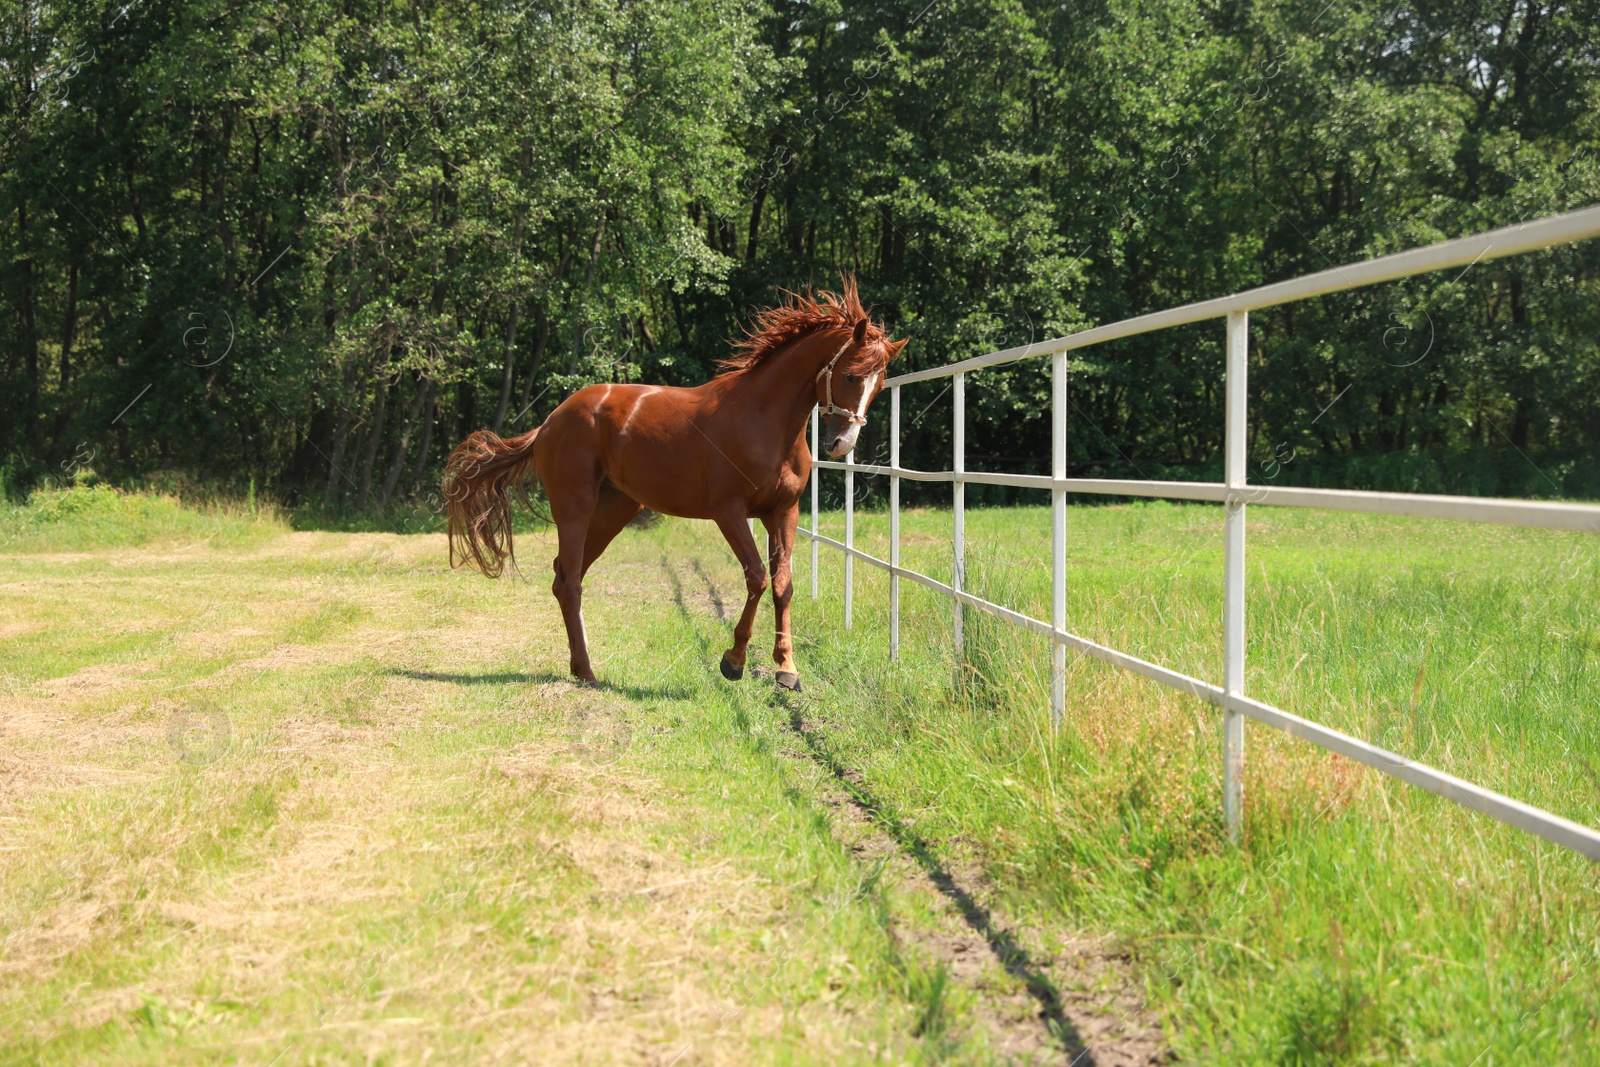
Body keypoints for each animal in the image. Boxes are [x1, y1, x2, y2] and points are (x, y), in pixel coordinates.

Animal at [444, 279, 908, 687]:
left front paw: (787, 669)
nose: (841, 443)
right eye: (850, 375)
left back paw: (580, 667)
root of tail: (550, 421)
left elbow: (782, 584)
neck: (763, 419)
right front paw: (733, 661)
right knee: (571, 580)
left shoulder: (783, 512)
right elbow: (757, 577)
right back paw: (589, 673)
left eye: (878, 384)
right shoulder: (729, 513)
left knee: (563, 577)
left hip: (614, 510)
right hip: (574, 508)